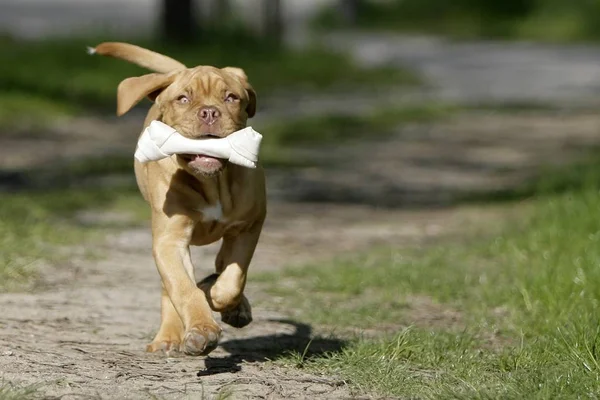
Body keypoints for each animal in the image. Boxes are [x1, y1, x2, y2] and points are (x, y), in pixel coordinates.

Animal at [94, 43, 268, 356]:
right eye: (183, 99)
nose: (209, 112)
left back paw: (233, 306)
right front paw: (201, 330)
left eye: (231, 97)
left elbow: (233, 279)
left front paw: (220, 298)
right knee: (171, 288)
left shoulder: (249, 226)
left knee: (221, 266)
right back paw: (167, 337)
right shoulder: (170, 241)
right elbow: (184, 289)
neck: (212, 182)